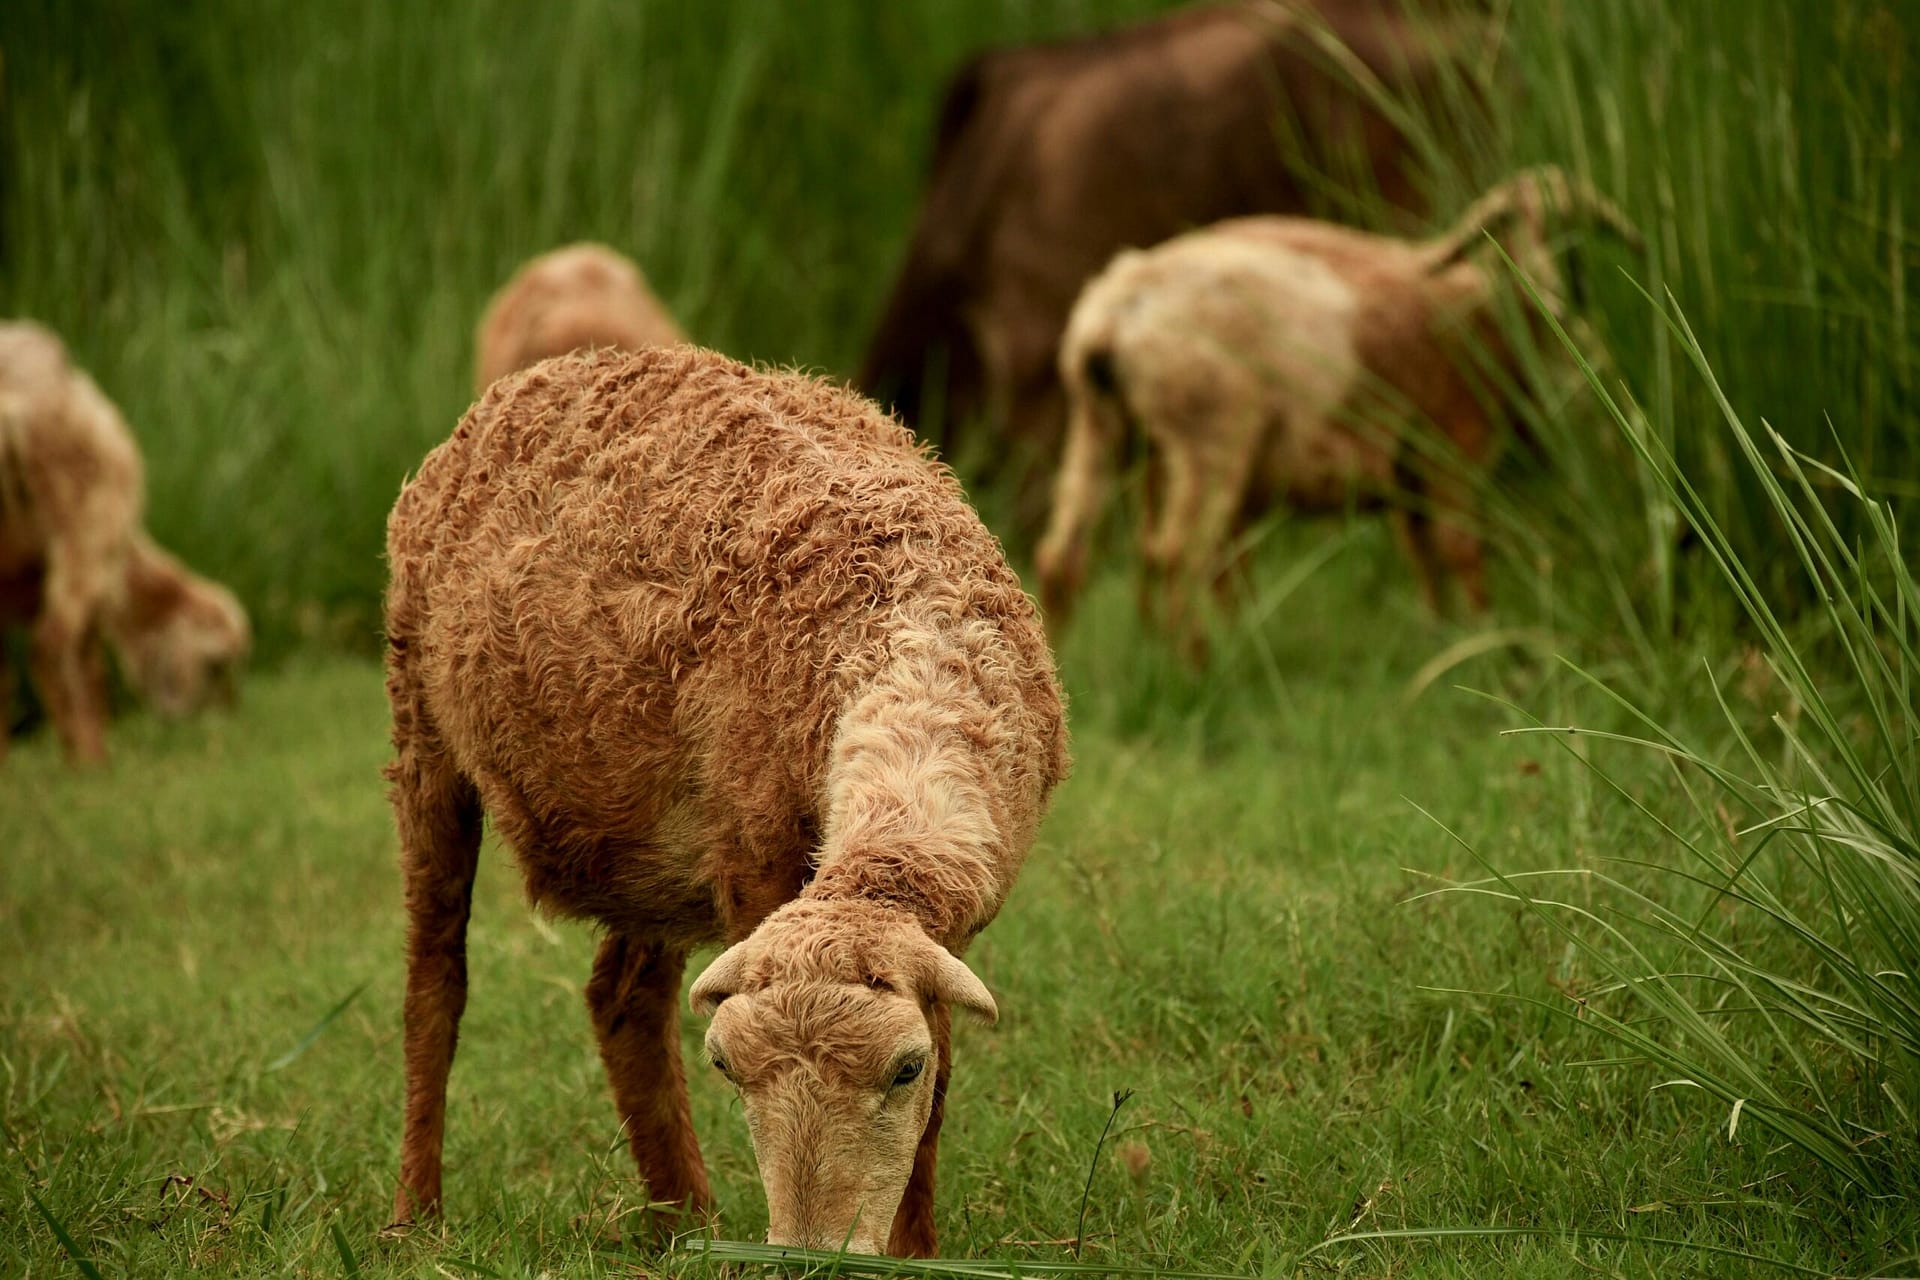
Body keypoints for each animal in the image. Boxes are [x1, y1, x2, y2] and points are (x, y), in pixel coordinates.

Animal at [0, 320, 251, 759]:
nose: (227, 716)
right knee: (52, 646)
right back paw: (87, 759)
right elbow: (90, 664)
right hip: (85, 523)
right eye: (217, 666)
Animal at [382, 339, 1075, 1251]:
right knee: (436, 982)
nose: (815, 1259)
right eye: (725, 1066)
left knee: (622, 998)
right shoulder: (755, 863)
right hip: (423, 729)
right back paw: (415, 1217)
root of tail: (548, 372)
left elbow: (941, 1092)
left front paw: (915, 1253)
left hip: (651, 840)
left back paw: (683, 1225)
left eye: (904, 1069)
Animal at [1036, 168, 1635, 644]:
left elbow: (1423, 552)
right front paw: (1487, 637)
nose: (1554, 292)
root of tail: (1118, 308)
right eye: (1513, 228)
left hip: (1103, 425)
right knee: (1179, 555)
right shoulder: (1452, 440)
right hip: (1210, 431)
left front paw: (1441, 634)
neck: (1488, 309)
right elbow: (1460, 547)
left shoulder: (1408, 465)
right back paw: (1200, 667)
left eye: (1576, 238)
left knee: (1066, 556)